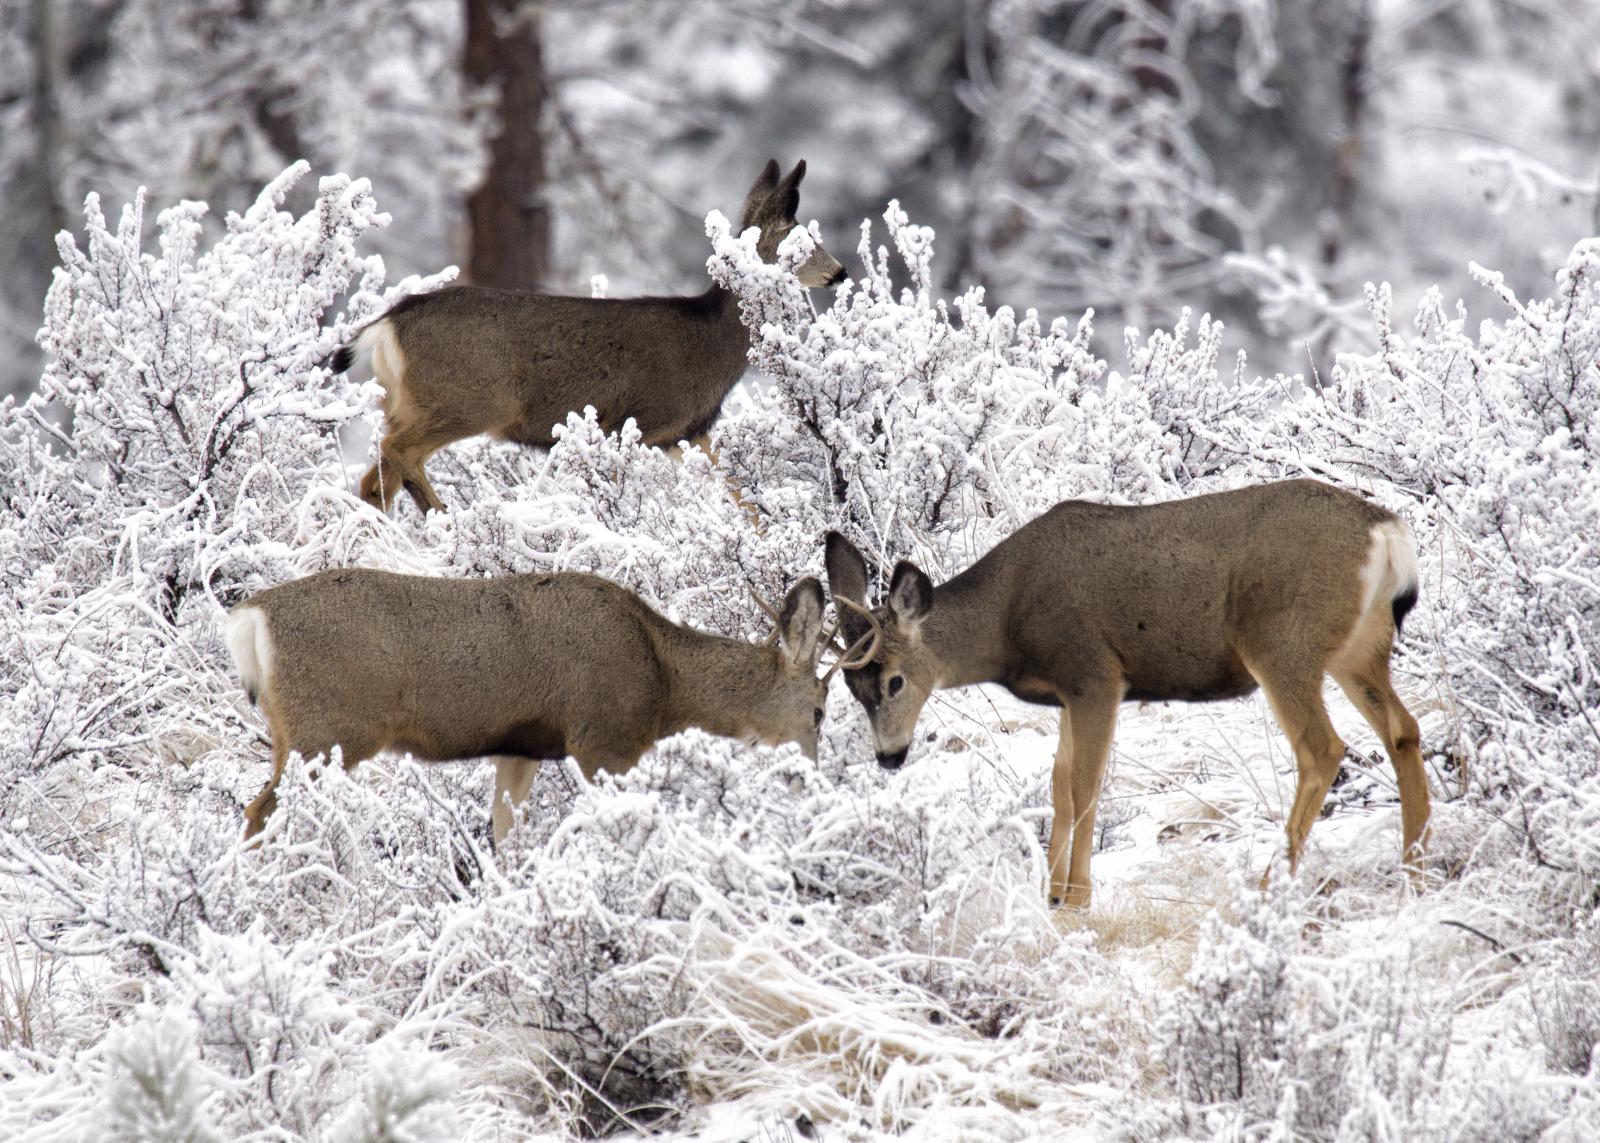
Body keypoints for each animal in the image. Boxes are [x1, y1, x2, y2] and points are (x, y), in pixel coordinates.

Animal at [331, 157, 844, 515]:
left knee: (374, 479)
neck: (710, 344)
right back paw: (444, 521)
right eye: (798, 239)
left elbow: (742, 497)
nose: (839, 273)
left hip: (404, 402)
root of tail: (388, 322)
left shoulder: (690, 432)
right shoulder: (639, 420)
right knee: (398, 453)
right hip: (469, 397)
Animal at [819, 477, 1433, 902]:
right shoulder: (1068, 693)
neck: (1006, 622)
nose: (890, 756)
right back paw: (1414, 866)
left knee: (1322, 747)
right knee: (1402, 730)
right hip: (1359, 648)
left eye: (895, 680)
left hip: (1282, 643)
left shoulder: (1094, 673)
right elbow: (1060, 785)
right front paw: (1051, 892)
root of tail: (1387, 533)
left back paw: (1268, 885)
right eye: (851, 688)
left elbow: (1086, 786)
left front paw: (1076, 898)